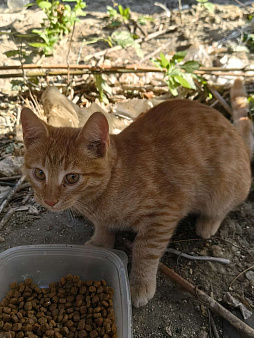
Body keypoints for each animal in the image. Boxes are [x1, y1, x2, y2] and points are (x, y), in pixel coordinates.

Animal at [21, 79, 252, 306]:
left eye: (72, 178)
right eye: (39, 174)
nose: (49, 201)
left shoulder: (164, 214)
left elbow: (146, 250)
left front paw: (140, 283)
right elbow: (103, 227)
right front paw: (100, 243)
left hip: (225, 189)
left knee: (224, 208)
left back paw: (208, 223)